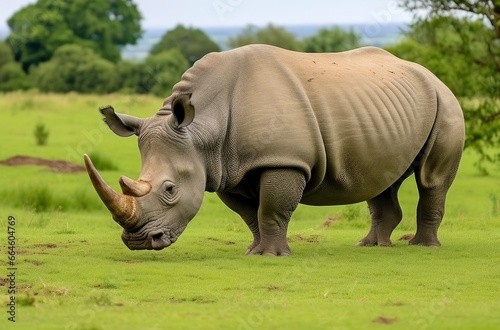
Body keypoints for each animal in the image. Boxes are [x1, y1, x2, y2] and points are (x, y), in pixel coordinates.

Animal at [85, 44, 464, 255]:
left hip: (446, 103)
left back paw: (423, 247)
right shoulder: (225, 168)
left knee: (431, 180)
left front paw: (271, 256)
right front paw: (253, 251)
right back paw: (370, 246)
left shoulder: (283, 160)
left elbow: (271, 208)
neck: (202, 129)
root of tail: (432, 74)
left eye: (169, 190)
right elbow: (250, 215)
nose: (138, 242)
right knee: (382, 180)